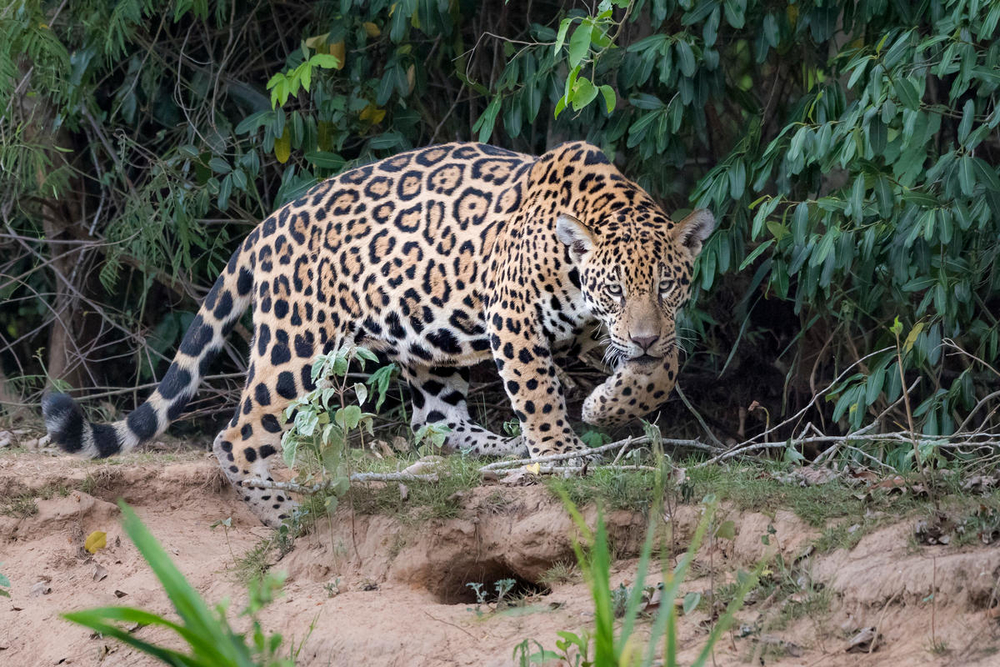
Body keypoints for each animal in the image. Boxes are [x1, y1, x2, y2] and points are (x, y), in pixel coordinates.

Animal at [43, 140, 714, 527]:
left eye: (667, 287)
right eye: (614, 289)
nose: (642, 338)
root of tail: (265, 227)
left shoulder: (607, 334)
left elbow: (665, 369)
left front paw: (610, 402)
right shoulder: (515, 320)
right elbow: (539, 393)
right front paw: (562, 453)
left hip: (429, 343)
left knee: (433, 424)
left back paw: (495, 448)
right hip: (296, 346)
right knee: (236, 436)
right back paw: (287, 516)